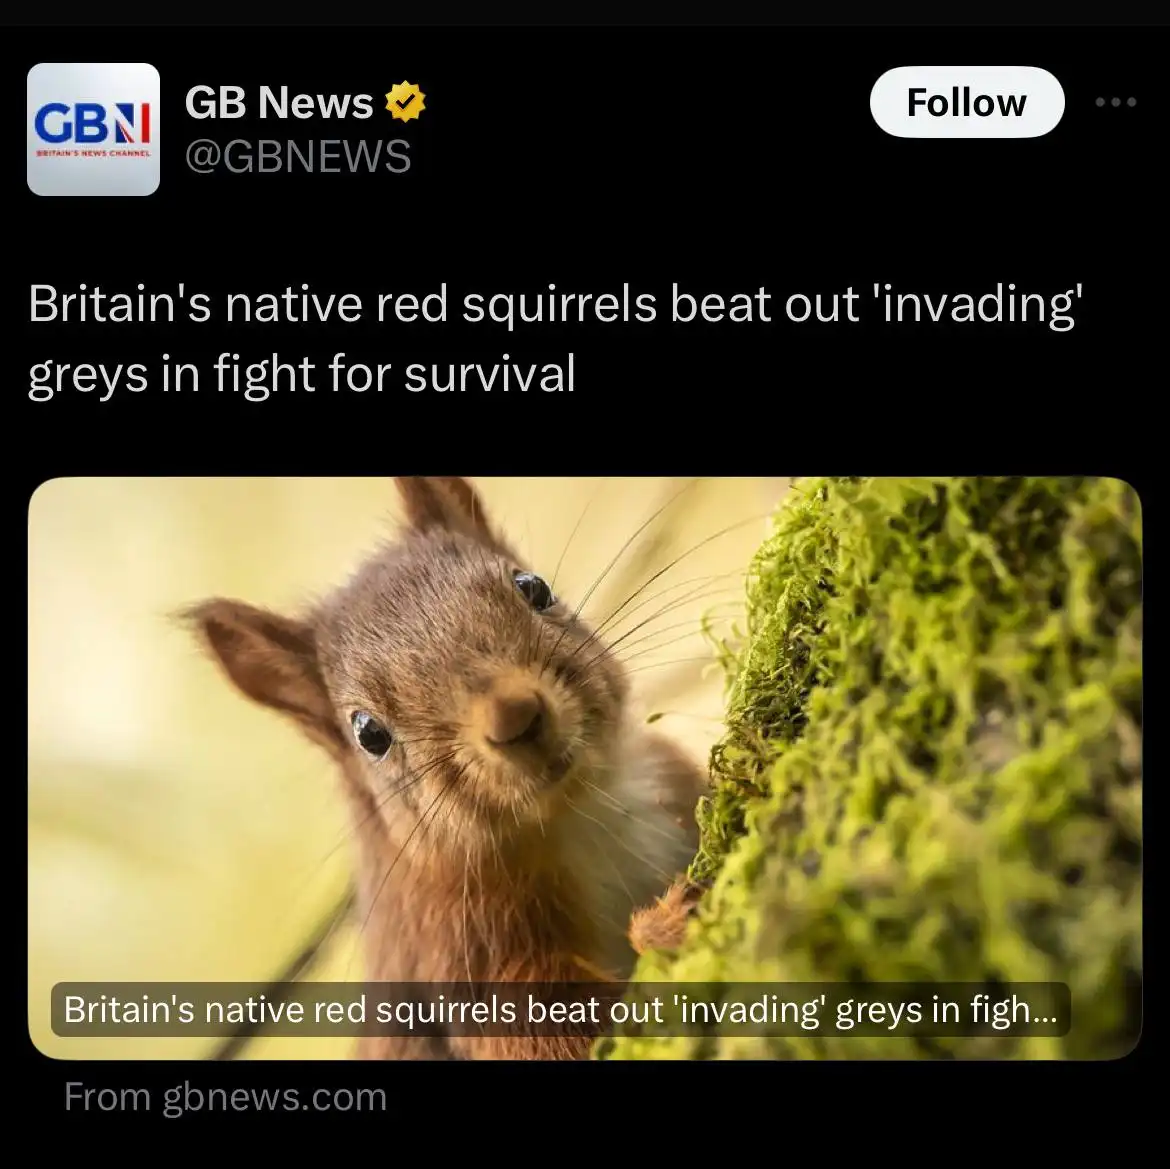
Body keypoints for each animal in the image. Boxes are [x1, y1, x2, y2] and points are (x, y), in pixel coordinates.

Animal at [188, 477, 708, 1059]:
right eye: (368, 733)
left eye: (534, 587)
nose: (515, 716)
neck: (580, 813)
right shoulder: (457, 950)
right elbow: (544, 1032)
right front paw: (663, 932)